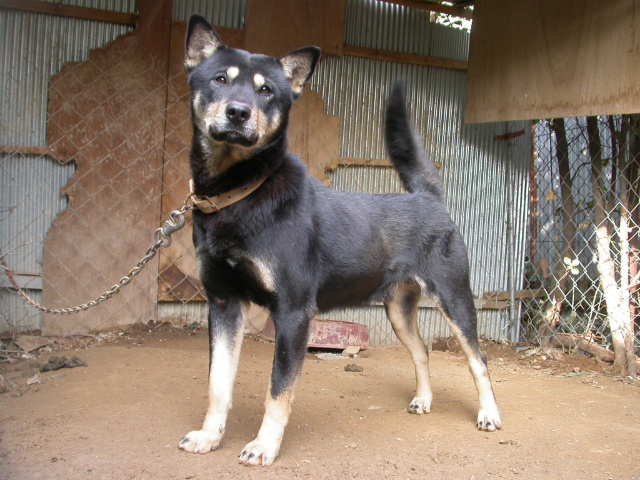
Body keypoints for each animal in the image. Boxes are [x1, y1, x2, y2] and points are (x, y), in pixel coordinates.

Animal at [179, 14, 500, 464]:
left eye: (266, 90)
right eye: (220, 79)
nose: (238, 112)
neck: (241, 193)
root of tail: (428, 198)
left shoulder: (294, 313)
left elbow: (277, 391)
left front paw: (264, 445)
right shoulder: (224, 304)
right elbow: (217, 384)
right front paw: (210, 436)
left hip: (454, 298)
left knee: (478, 359)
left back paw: (489, 414)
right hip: (398, 310)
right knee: (422, 351)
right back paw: (423, 400)